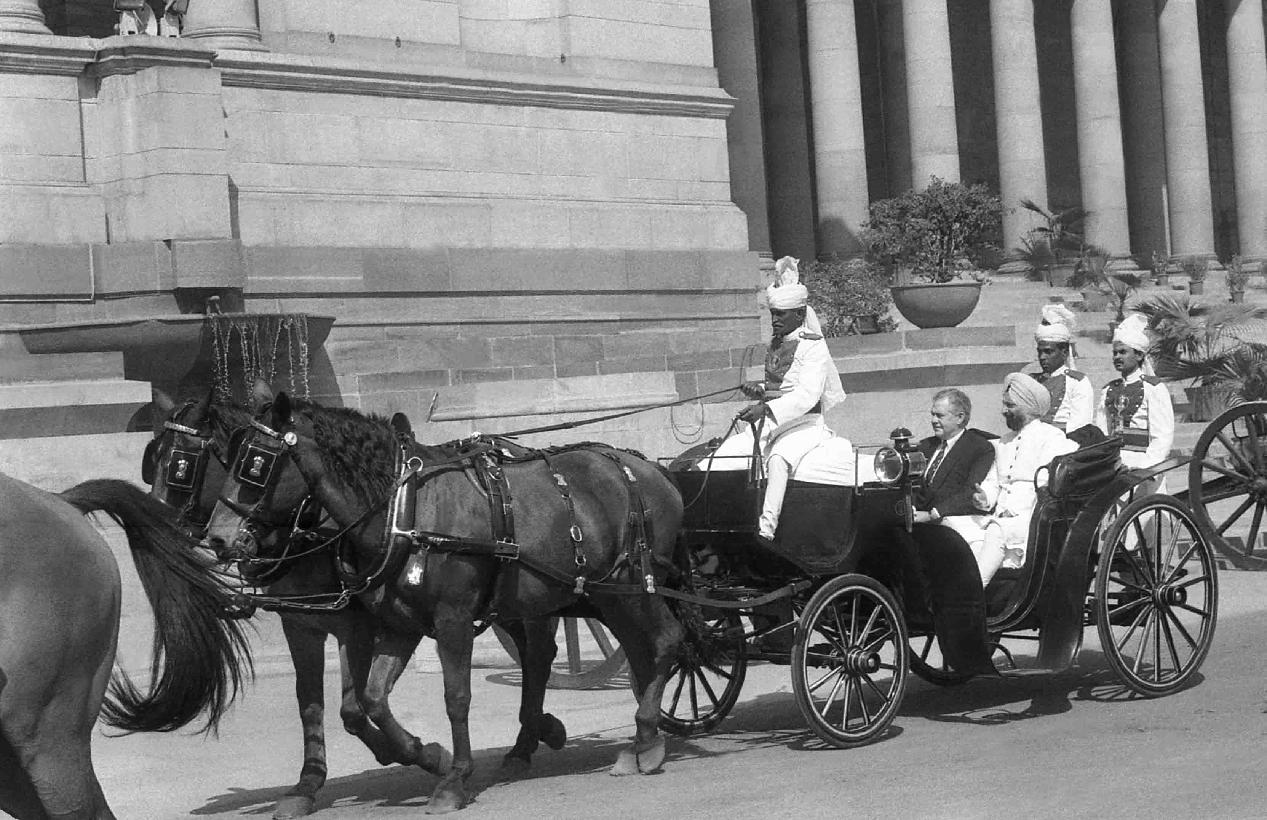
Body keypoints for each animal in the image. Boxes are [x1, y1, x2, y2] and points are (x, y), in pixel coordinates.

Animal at [146, 389, 455, 819]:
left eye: (180, 465)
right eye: (152, 459)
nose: (149, 528)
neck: (308, 527)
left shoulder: (355, 627)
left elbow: (353, 709)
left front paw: (418, 753)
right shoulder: (301, 624)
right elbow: (310, 703)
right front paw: (308, 782)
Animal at [203, 390, 686, 812]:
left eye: (256, 462)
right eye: (226, 458)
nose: (218, 538)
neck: (405, 510)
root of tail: (649, 468)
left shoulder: (448, 621)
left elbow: (455, 697)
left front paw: (453, 779)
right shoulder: (396, 625)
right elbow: (371, 698)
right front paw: (425, 753)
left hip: (634, 587)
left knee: (667, 639)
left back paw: (645, 736)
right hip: (608, 596)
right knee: (620, 652)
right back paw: (627, 739)